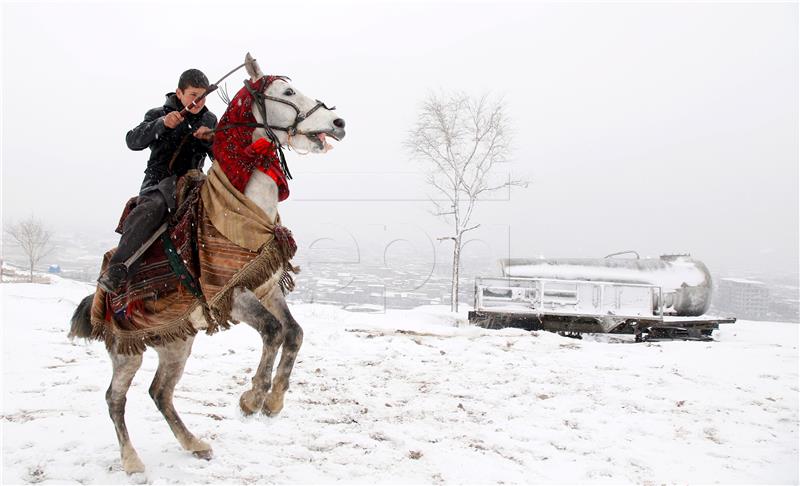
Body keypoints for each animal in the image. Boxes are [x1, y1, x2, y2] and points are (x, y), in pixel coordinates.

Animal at [68, 54, 344, 474]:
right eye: (287, 91)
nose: (338, 123)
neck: (237, 212)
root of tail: (99, 292)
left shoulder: (266, 286)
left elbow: (293, 333)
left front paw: (274, 400)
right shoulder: (229, 293)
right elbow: (272, 331)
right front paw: (253, 399)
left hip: (175, 342)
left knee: (160, 392)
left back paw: (195, 444)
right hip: (127, 351)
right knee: (116, 398)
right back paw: (132, 461)